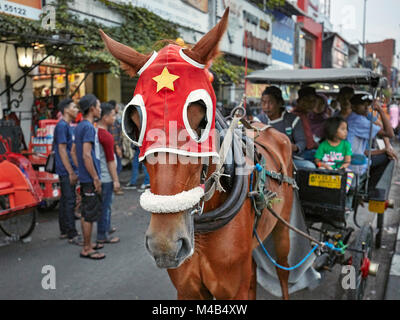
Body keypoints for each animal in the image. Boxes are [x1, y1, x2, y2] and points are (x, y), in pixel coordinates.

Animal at [99, 8, 294, 300]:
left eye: (202, 118)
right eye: (134, 121)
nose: (165, 244)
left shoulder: (233, 289)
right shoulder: (188, 289)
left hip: (282, 231)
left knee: (283, 272)